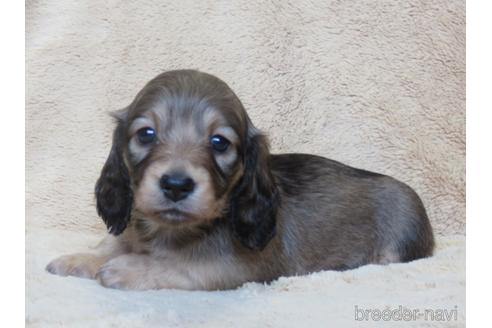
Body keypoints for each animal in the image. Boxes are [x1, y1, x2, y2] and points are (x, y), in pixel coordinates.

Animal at [46, 69, 434, 290]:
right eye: (146, 134)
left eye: (220, 142)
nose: (176, 185)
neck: (171, 232)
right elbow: (113, 242)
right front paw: (79, 259)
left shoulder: (239, 267)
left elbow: (181, 265)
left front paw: (125, 269)